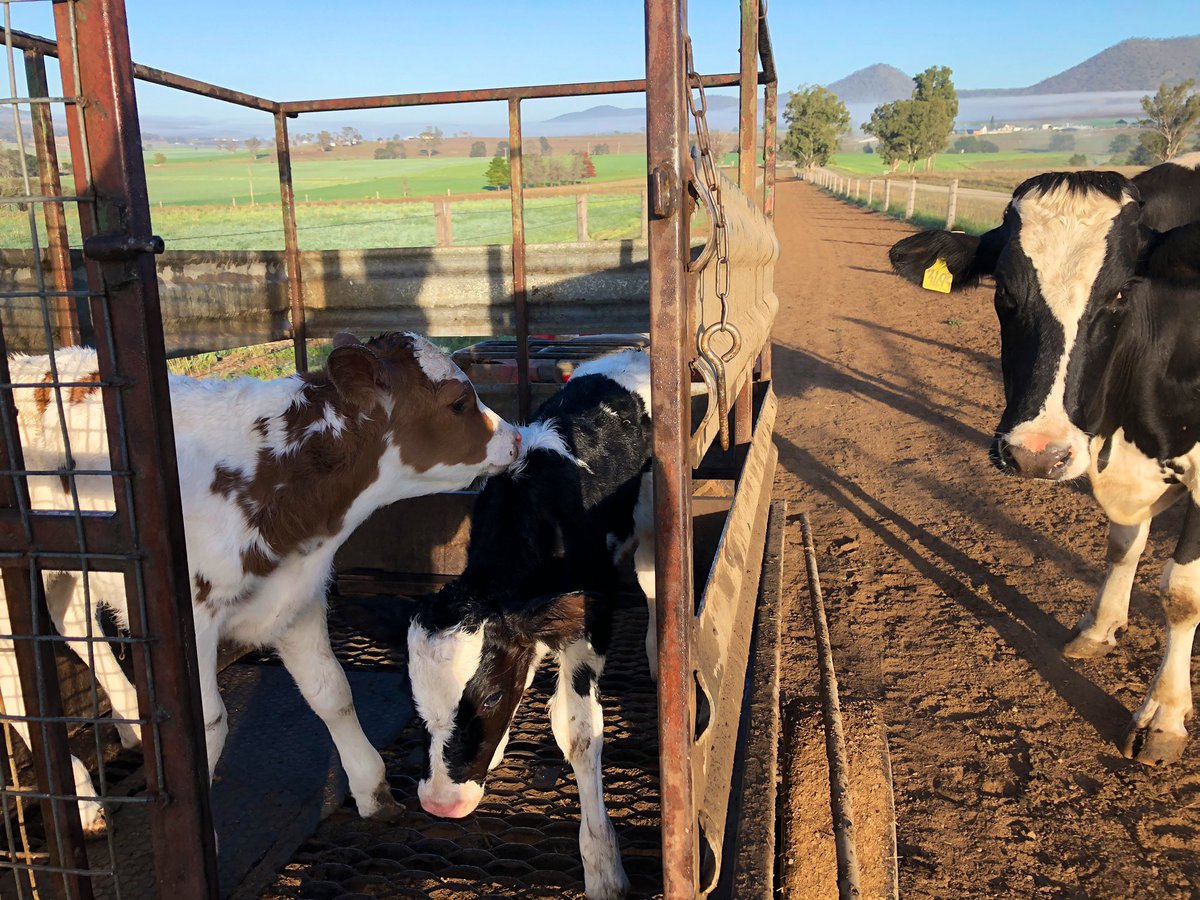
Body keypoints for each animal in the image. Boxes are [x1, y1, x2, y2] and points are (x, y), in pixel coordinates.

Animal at [0, 332, 521, 833]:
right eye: (458, 402)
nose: (516, 438)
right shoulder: (192, 620)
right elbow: (207, 726)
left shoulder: (296, 597)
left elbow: (333, 693)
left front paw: (373, 792)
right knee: (17, 679)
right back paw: (84, 801)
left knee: (72, 624)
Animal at [405, 348, 654, 900]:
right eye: (420, 707)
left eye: (488, 699)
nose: (440, 804)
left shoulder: (590, 616)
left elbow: (578, 733)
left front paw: (603, 866)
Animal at [887, 161, 1200, 765]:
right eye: (1004, 292)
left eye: (1121, 293)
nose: (1036, 453)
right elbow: (1123, 545)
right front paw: (1100, 628)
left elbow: (1181, 594)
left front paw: (1164, 716)